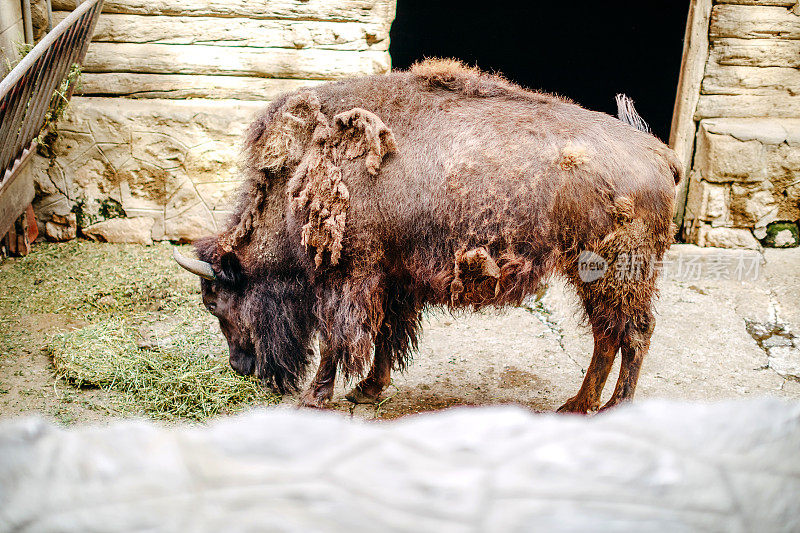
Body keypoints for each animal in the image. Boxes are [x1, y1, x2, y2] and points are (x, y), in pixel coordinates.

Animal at [173, 60, 680, 414]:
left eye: (215, 302)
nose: (241, 367)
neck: (298, 176)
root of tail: (661, 152)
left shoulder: (349, 279)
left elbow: (339, 340)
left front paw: (317, 397)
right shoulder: (395, 278)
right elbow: (387, 335)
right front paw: (368, 390)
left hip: (618, 273)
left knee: (634, 333)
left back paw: (612, 408)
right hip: (591, 276)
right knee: (607, 335)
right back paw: (577, 405)